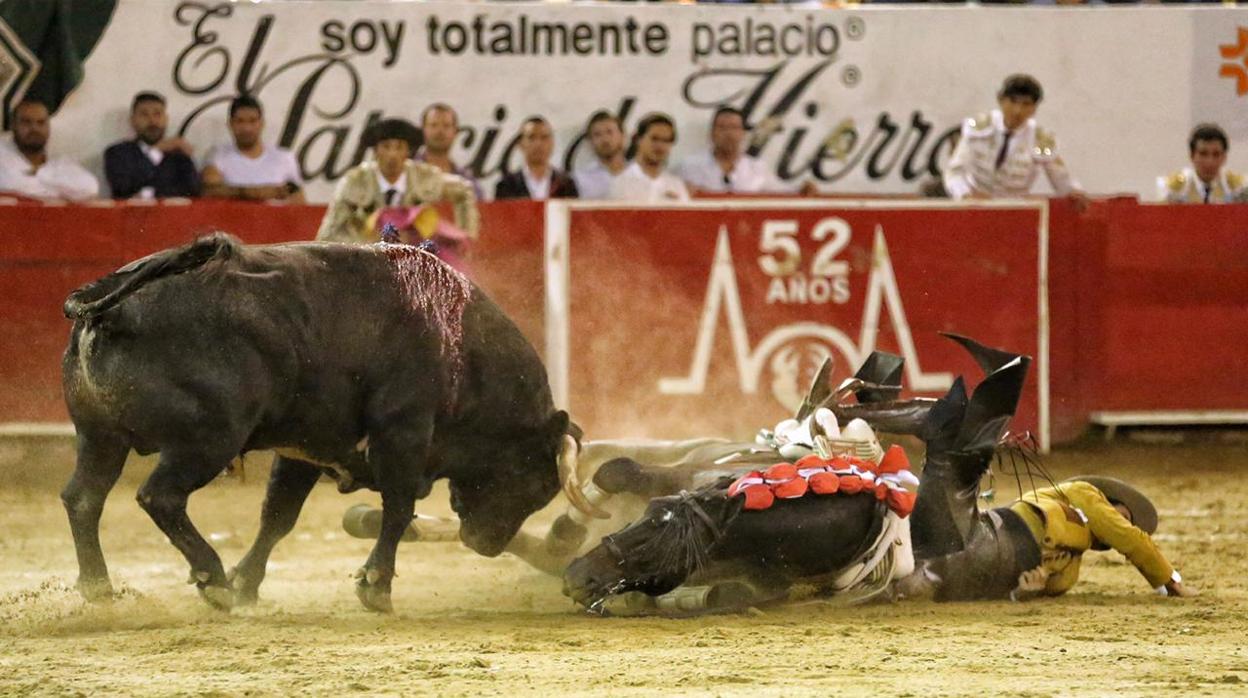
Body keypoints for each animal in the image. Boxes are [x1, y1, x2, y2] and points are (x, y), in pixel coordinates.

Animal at [62, 233, 594, 611]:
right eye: (534, 481)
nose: (486, 544)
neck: (460, 345)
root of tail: (110, 304)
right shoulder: (402, 433)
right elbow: (398, 508)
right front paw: (376, 587)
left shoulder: (304, 445)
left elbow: (279, 516)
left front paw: (246, 584)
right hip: (207, 439)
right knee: (160, 497)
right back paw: (209, 579)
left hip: (100, 436)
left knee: (83, 499)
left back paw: (100, 588)